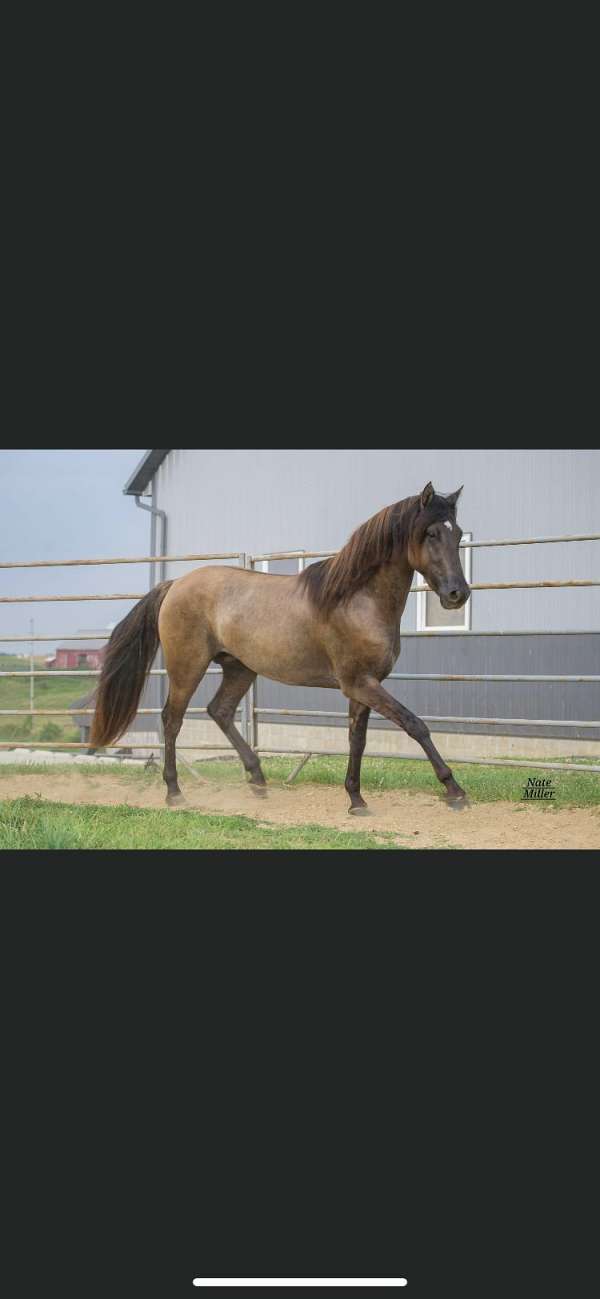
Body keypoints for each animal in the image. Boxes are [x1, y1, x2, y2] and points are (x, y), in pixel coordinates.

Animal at [91, 483, 470, 815]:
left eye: (458, 533)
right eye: (431, 533)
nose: (458, 594)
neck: (356, 600)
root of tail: (174, 584)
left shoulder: (363, 686)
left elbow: (357, 740)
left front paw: (356, 799)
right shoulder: (360, 683)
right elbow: (414, 724)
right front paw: (455, 791)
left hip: (239, 667)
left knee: (220, 711)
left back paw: (258, 781)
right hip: (188, 666)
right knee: (172, 719)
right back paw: (174, 792)